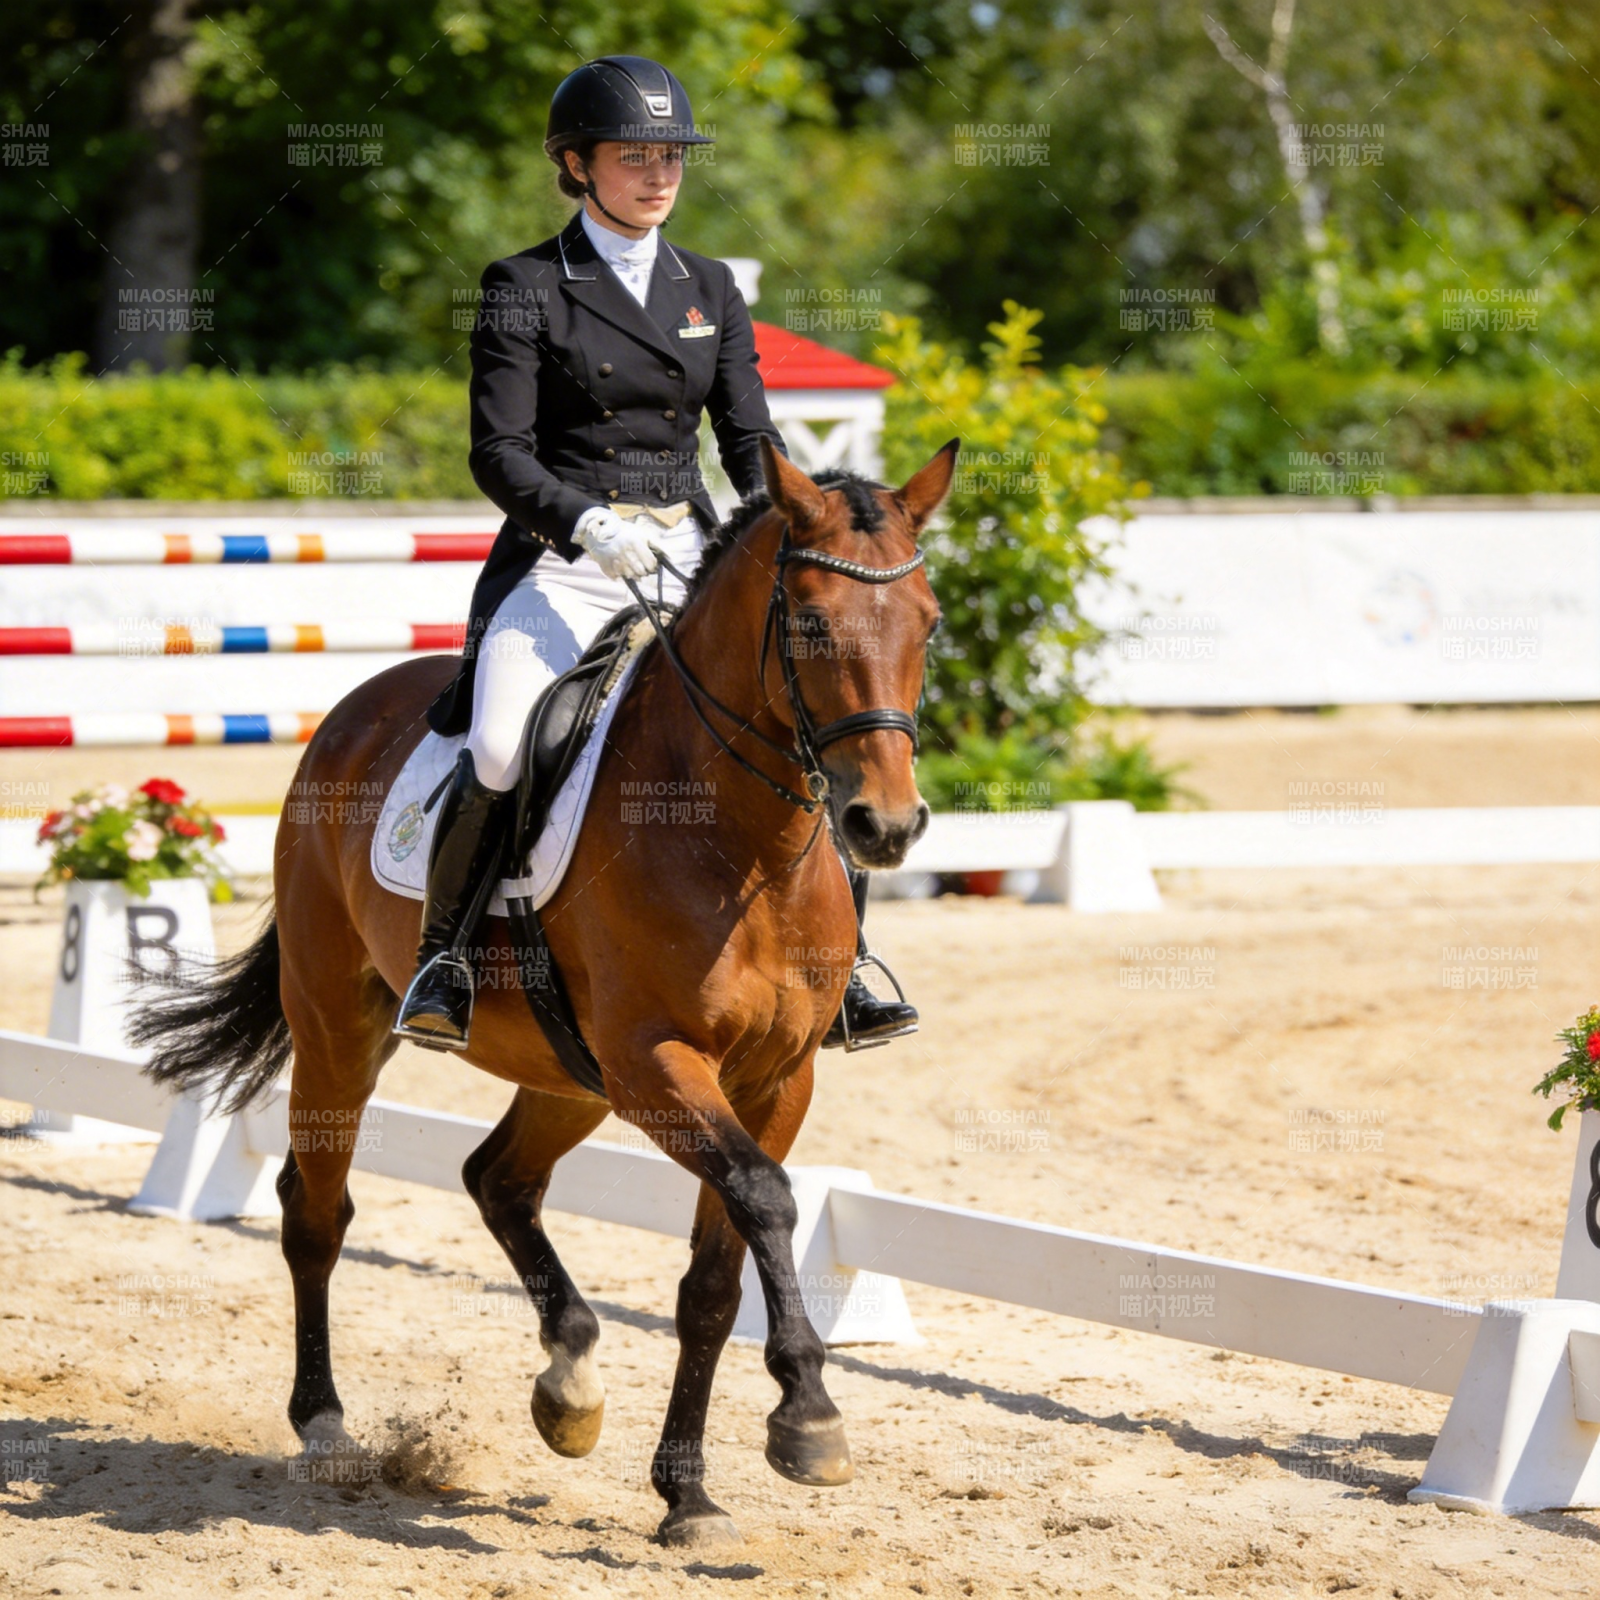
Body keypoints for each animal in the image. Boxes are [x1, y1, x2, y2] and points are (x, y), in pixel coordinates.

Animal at [129, 435, 956, 1546]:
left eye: (929, 622)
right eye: (811, 622)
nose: (886, 827)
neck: (743, 844)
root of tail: (354, 708)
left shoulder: (774, 1079)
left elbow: (714, 1275)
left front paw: (690, 1493)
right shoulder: (657, 1062)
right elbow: (768, 1200)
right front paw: (808, 1418)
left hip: (569, 1073)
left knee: (497, 1179)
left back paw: (570, 1382)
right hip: (341, 1026)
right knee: (317, 1209)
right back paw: (328, 1429)